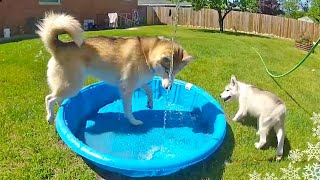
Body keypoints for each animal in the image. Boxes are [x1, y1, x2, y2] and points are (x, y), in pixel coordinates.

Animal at [36, 12, 194, 125]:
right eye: (167, 71)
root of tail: (60, 45)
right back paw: (50, 117)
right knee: (49, 98)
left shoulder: (139, 81)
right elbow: (128, 109)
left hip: (69, 85)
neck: (146, 54)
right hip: (72, 85)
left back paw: (59, 106)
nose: (169, 88)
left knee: (56, 97)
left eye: (175, 73)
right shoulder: (127, 88)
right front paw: (133, 121)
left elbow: (149, 90)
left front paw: (150, 103)